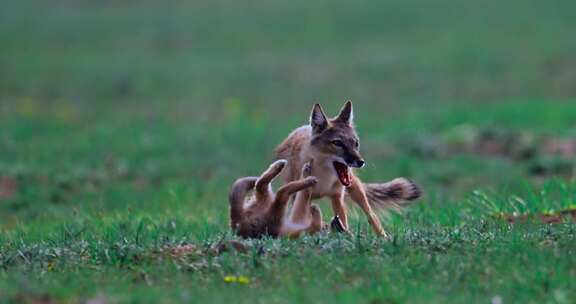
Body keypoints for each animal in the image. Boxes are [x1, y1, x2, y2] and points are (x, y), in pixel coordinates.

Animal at [274, 101, 418, 236]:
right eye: (337, 143)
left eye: (356, 143)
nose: (361, 162)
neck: (323, 179)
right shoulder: (302, 196)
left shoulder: (337, 197)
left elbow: (344, 221)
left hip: (356, 190)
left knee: (371, 214)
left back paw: (383, 236)